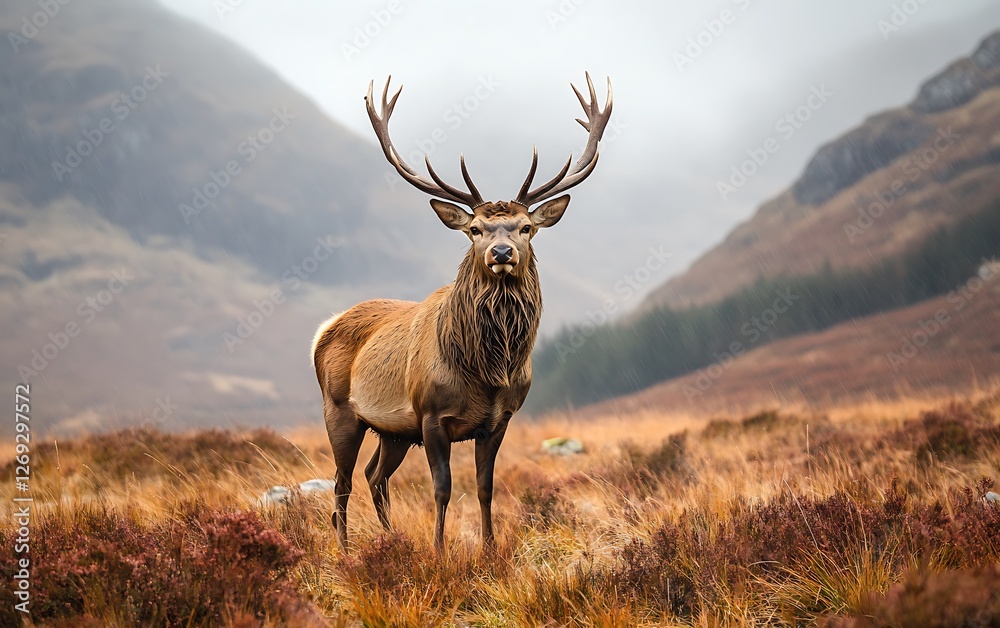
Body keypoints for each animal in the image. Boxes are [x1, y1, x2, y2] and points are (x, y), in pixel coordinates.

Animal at [312, 73, 612, 552]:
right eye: (474, 229)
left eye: (526, 227)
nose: (502, 252)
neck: (486, 370)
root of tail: (324, 330)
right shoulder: (431, 415)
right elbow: (443, 488)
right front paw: (439, 551)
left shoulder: (498, 420)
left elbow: (486, 487)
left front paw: (489, 549)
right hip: (339, 409)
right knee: (342, 481)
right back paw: (345, 550)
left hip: (394, 429)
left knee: (374, 476)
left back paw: (391, 540)